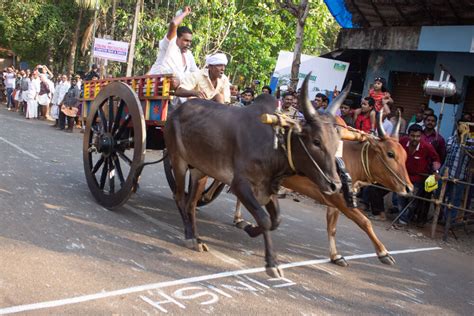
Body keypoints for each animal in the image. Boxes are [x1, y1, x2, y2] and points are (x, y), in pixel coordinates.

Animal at [164, 74, 348, 276]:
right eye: (316, 141)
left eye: (337, 142)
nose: (335, 185)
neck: (274, 144)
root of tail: (177, 110)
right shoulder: (240, 185)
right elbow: (265, 219)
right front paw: (272, 263)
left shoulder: (268, 188)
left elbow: (276, 220)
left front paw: (250, 229)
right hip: (178, 161)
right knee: (180, 197)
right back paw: (189, 236)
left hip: (200, 170)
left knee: (191, 203)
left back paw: (197, 238)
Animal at [235, 110, 412, 266]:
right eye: (390, 154)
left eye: (405, 156)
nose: (409, 188)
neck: (348, 159)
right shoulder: (339, 200)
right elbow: (364, 222)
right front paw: (383, 253)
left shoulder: (334, 201)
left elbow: (332, 228)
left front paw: (335, 256)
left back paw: (238, 219)